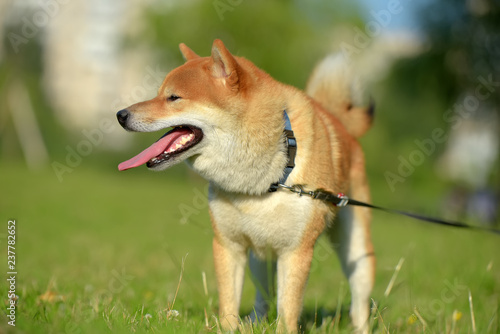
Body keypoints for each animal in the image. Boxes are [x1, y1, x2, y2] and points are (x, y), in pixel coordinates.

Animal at [117, 39, 376, 332]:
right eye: (159, 93)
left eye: (173, 98)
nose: (120, 115)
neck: (264, 182)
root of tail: (340, 124)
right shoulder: (228, 244)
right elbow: (229, 304)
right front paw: (230, 327)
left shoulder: (296, 251)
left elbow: (288, 310)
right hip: (260, 258)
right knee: (264, 298)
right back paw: (254, 320)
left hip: (357, 253)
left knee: (358, 305)